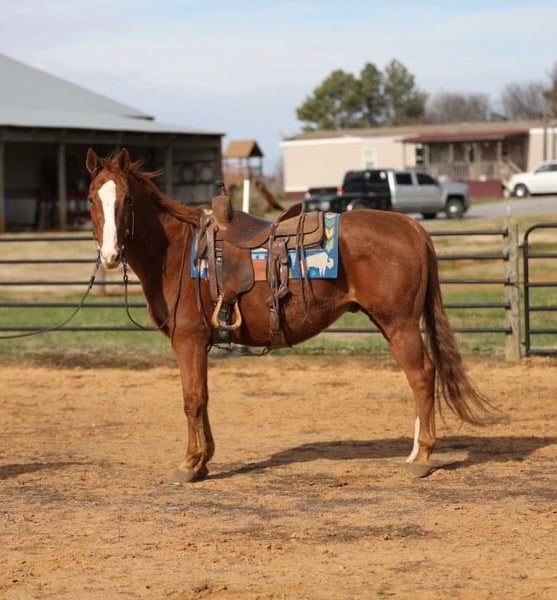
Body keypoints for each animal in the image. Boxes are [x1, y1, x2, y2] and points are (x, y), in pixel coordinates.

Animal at [86, 147, 495, 482]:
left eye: (127, 199)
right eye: (92, 197)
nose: (110, 255)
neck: (177, 251)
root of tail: (411, 225)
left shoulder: (189, 339)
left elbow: (192, 399)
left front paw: (189, 463)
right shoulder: (200, 344)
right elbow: (203, 397)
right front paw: (204, 459)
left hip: (401, 325)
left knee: (422, 376)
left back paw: (421, 458)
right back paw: (414, 452)